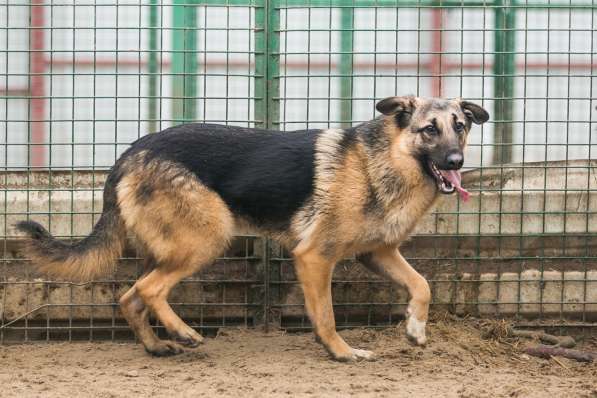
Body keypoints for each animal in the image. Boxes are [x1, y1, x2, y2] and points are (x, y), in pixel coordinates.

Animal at [16, 95, 486, 360]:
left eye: (460, 127)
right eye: (429, 130)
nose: (456, 162)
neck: (383, 160)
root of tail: (132, 151)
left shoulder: (378, 253)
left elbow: (422, 284)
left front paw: (415, 329)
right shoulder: (314, 257)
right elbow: (327, 316)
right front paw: (340, 352)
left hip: (172, 248)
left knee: (130, 297)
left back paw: (158, 346)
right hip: (208, 239)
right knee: (148, 290)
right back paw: (184, 332)